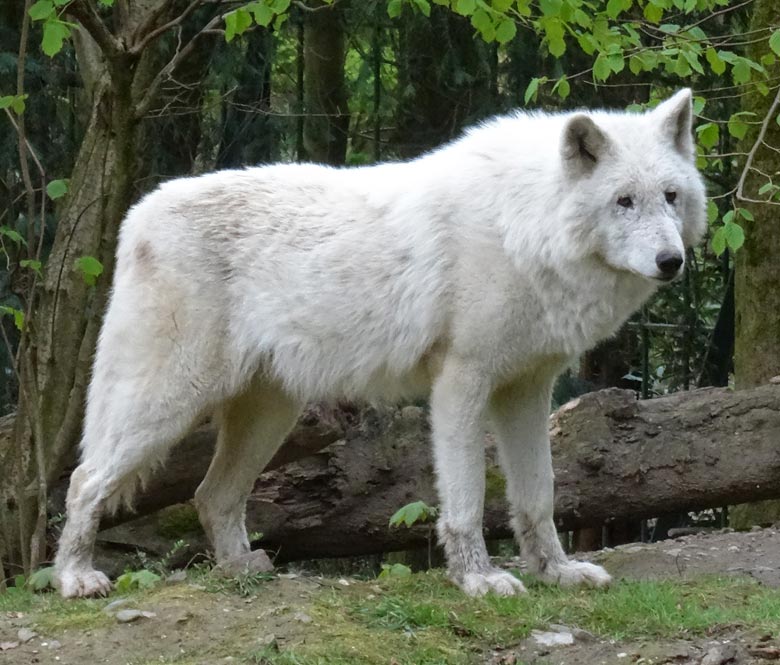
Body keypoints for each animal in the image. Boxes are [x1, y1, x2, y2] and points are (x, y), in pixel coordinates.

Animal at [51, 89, 704, 596]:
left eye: (671, 196)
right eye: (623, 201)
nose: (671, 262)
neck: (523, 226)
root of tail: (137, 213)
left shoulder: (526, 391)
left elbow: (539, 496)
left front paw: (557, 572)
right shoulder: (461, 384)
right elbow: (467, 500)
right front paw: (479, 580)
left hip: (269, 416)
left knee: (211, 496)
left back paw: (243, 571)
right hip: (167, 404)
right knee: (85, 481)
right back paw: (76, 578)